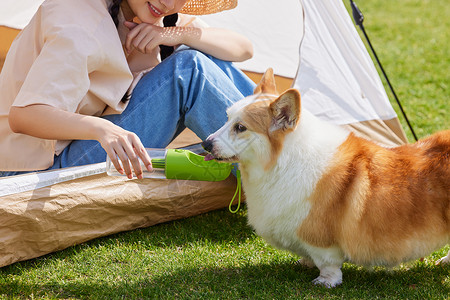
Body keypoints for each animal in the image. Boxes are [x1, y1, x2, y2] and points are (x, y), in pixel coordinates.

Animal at [203, 68, 450, 288]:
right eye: (227, 117)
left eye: (240, 127)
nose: (206, 143)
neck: (283, 162)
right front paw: (304, 262)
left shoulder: (322, 241)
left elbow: (328, 264)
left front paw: (325, 282)